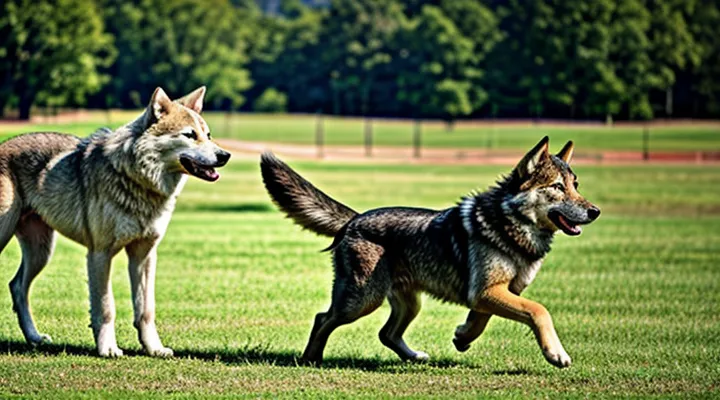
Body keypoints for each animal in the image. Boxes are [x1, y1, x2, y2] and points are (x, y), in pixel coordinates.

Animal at [0, 86, 229, 356]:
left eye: (208, 135)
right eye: (190, 135)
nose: (225, 155)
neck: (138, 181)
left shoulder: (144, 254)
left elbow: (146, 310)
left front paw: (154, 349)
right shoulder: (100, 254)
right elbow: (106, 306)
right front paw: (108, 348)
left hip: (41, 252)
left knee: (17, 287)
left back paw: (34, 338)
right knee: (18, 286)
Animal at [262, 138, 600, 368]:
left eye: (576, 185)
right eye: (557, 187)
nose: (595, 211)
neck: (510, 223)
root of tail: (353, 220)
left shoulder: (495, 293)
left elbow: (481, 321)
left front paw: (462, 337)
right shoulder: (487, 291)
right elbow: (538, 310)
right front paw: (556, 354)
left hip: (409, 303)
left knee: (386, 334)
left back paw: (414, 357)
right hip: (362, 300)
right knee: (323, 318)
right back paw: (311, 359)